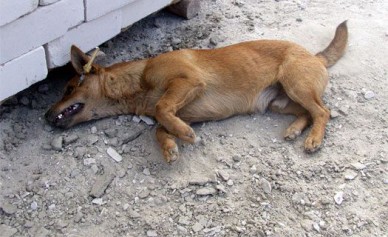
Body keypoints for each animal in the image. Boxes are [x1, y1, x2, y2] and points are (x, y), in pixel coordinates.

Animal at [45, 21, 348, 163]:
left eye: (69, 89)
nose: (46, 116)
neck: (138, 82)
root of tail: (315, 56)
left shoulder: (188, 82)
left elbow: (161, 109)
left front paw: (184, 135)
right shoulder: (182, 109)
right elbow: (160, 127)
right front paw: (170, 146)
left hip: (296, 85)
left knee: (323, 111)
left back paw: (313, 139)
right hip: (280, 102)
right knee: (308, 113)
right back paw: (296, 129)